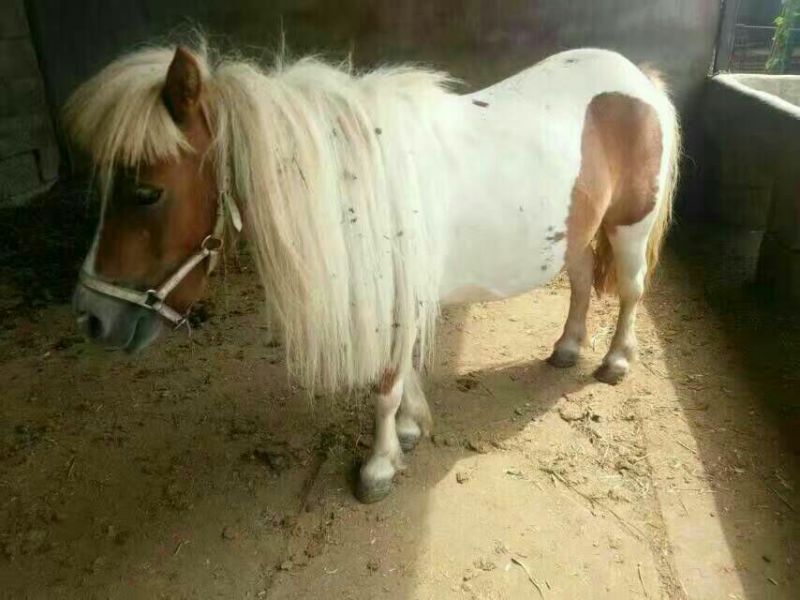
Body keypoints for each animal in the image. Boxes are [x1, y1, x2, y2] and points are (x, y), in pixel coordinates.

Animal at [66, 41, 680, 503]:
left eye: (146, 192)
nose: (92, 318)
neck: (355, 182)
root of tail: (637, 77)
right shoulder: (400, 298)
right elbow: (402, 373)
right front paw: (411, 429)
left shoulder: (393, 300)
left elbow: (384, 385)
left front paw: (380, 466)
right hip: (577, 232)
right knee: (579, 286)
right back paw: (567, 348)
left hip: (630, 227)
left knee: (629, 294)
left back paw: (614, 362)